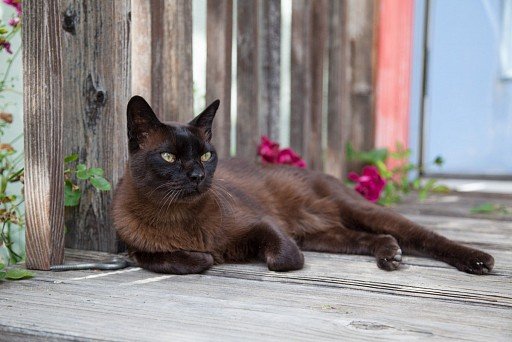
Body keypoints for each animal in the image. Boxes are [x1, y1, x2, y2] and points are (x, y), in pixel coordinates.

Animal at [110, 95, 494, 276]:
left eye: (206, 155)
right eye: (169, 157)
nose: (196, 176)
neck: (176, 217)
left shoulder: (267, 227)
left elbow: (282, 259)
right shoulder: (135, 250)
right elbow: (174, 259)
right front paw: (205, 256)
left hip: (356, 211)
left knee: (424, 236)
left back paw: (478, 261)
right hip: (323, 235)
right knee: (374, 238)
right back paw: (390, 254)